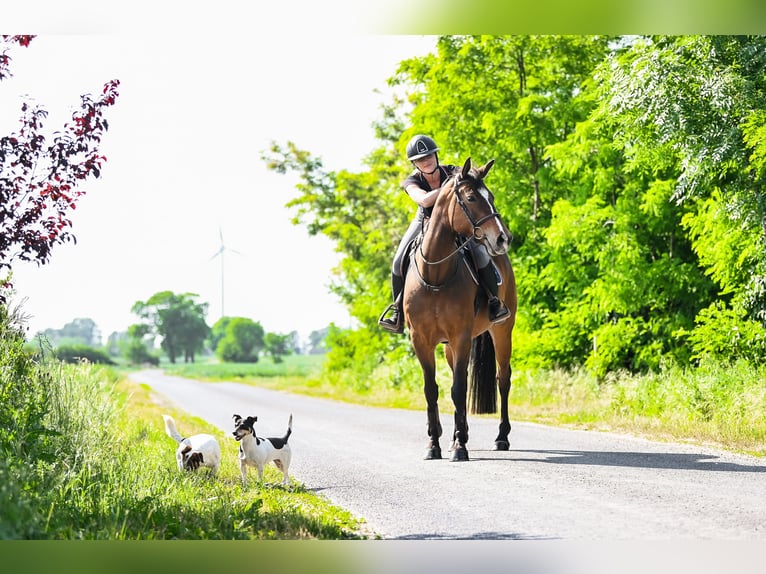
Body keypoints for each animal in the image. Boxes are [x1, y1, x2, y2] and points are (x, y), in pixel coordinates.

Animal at [404, 158, 520, 464]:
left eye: (491, 197)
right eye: (471, 198)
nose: (503, 238)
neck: (435, 275)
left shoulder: (461, 336)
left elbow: (457, 389)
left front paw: (460, 447)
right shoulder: (421, 340)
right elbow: (432, 390)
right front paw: (434, 444)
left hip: (502, 332)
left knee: (503, 379)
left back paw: (501, 437)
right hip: (447, 348)